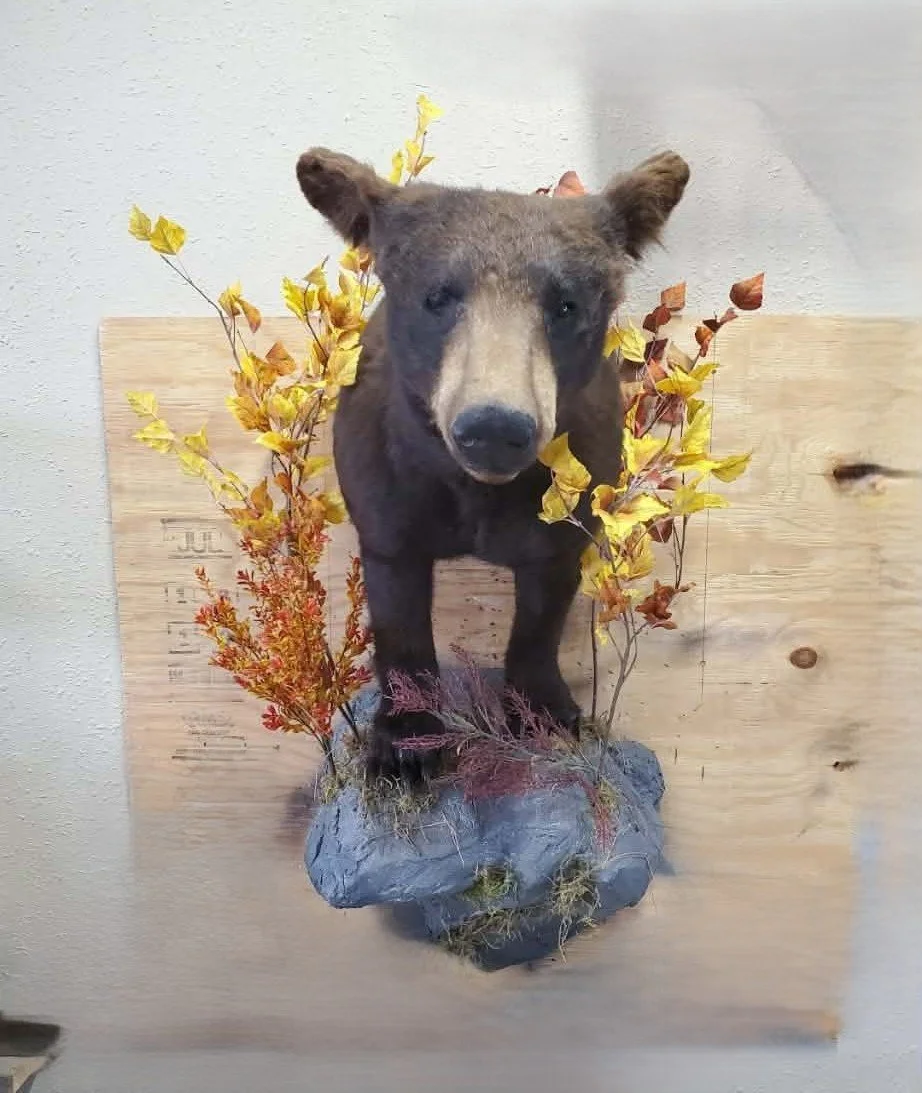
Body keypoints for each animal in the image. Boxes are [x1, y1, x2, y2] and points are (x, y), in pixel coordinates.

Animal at [296, 144, 689, 782]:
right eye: (436, 296)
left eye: (566, 304)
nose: (494, 427)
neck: (475, 491)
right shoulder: (384, 493)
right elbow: (398, 613)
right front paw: (406, 745)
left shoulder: (571, 498)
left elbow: (543, 611)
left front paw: (545, 716)